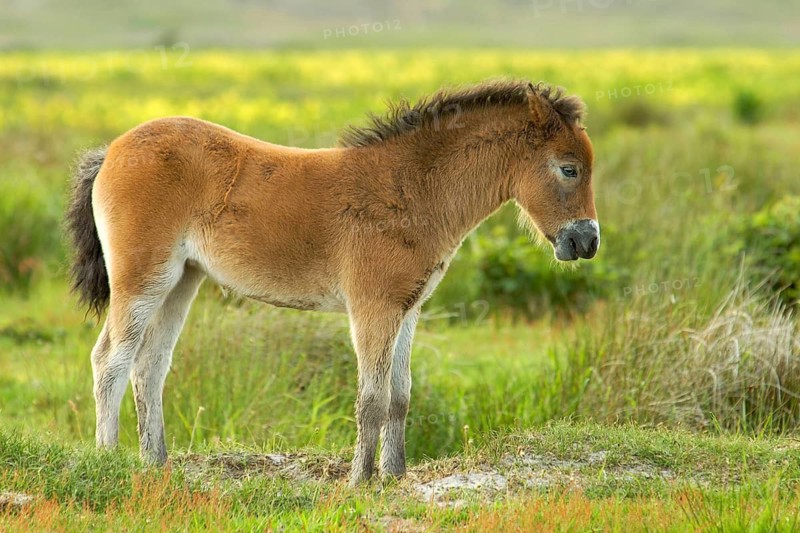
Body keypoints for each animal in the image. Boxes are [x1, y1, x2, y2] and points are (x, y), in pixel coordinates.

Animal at [65, 79, 599, 486]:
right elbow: (371, 399)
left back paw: (157, 466)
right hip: (143, 278)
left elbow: (400, 396)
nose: (587, 241)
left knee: (150, 366)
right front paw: (360, 480)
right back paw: (109, 462)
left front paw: (395, 476)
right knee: (110, 360)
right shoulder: (372, 308)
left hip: (181, 281)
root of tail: (110, 151)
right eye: (569, 168)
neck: (410, 189)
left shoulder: (408, 308)